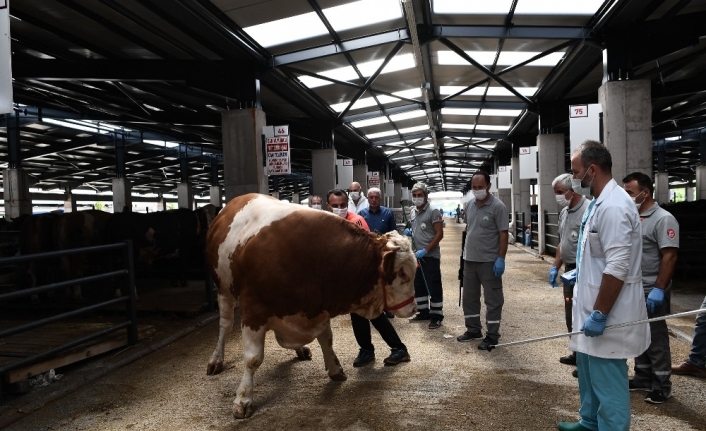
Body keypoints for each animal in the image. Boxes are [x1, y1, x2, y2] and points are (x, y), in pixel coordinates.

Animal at [204, 195, 416, 418]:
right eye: (402, 273)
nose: (413, 309)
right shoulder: (254, 311)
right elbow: (253, 358)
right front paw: (243, 398)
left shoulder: (317, 310)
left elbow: (326, 340)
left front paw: (335, 369)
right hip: (223, 290)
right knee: (225, 326)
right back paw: (216, 359)